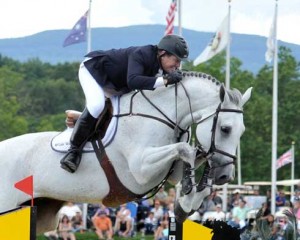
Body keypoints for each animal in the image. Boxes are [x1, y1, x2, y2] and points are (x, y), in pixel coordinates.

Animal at [0, 71, 252, 232]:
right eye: (225, 129)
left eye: (242, 131)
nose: (225, 176)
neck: (162, 113)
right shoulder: (140, 170)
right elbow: (186, 150)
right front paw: (187, 195)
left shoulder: (170, 171)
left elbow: (193, 159)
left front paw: (185, 204)